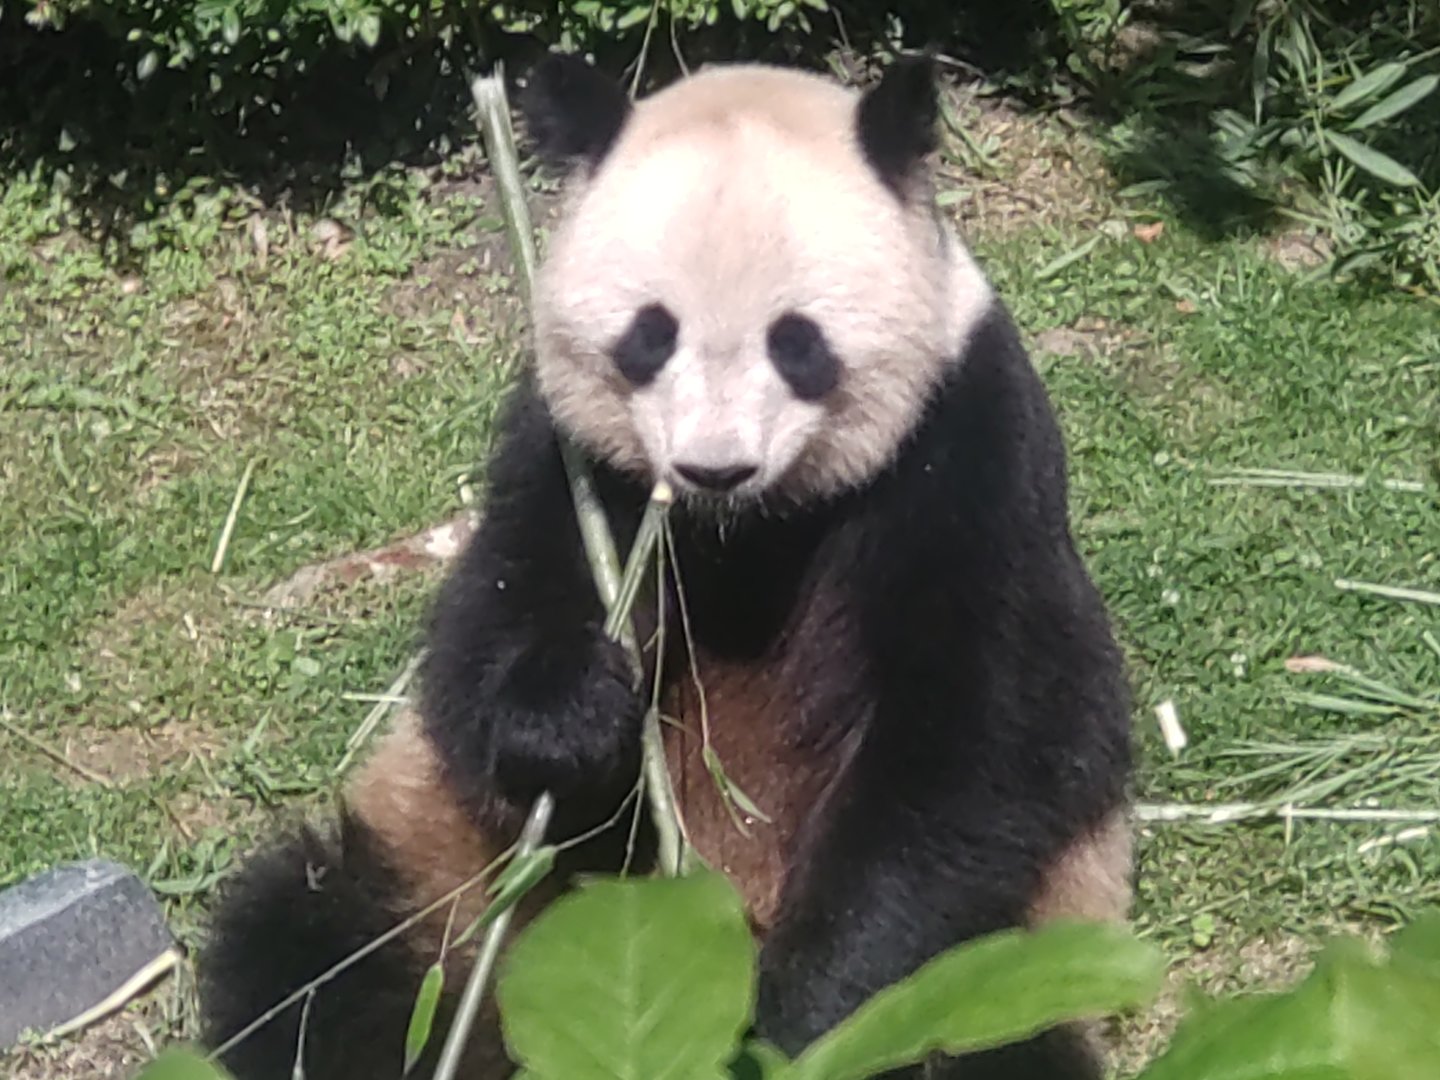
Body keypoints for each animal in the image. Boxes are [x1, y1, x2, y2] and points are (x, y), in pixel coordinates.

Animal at [197, 52, 1133, 1080]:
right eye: (651, 334)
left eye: (797, 342)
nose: (713, 467)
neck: (749, 529)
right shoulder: (567, 455)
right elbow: (489, 627)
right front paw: (572, 712)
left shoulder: (965, 448)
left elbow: (978, 742)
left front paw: (800, 1022)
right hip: (442, 886)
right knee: (311, 949)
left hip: (1014, 967)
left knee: (1003, 1045)